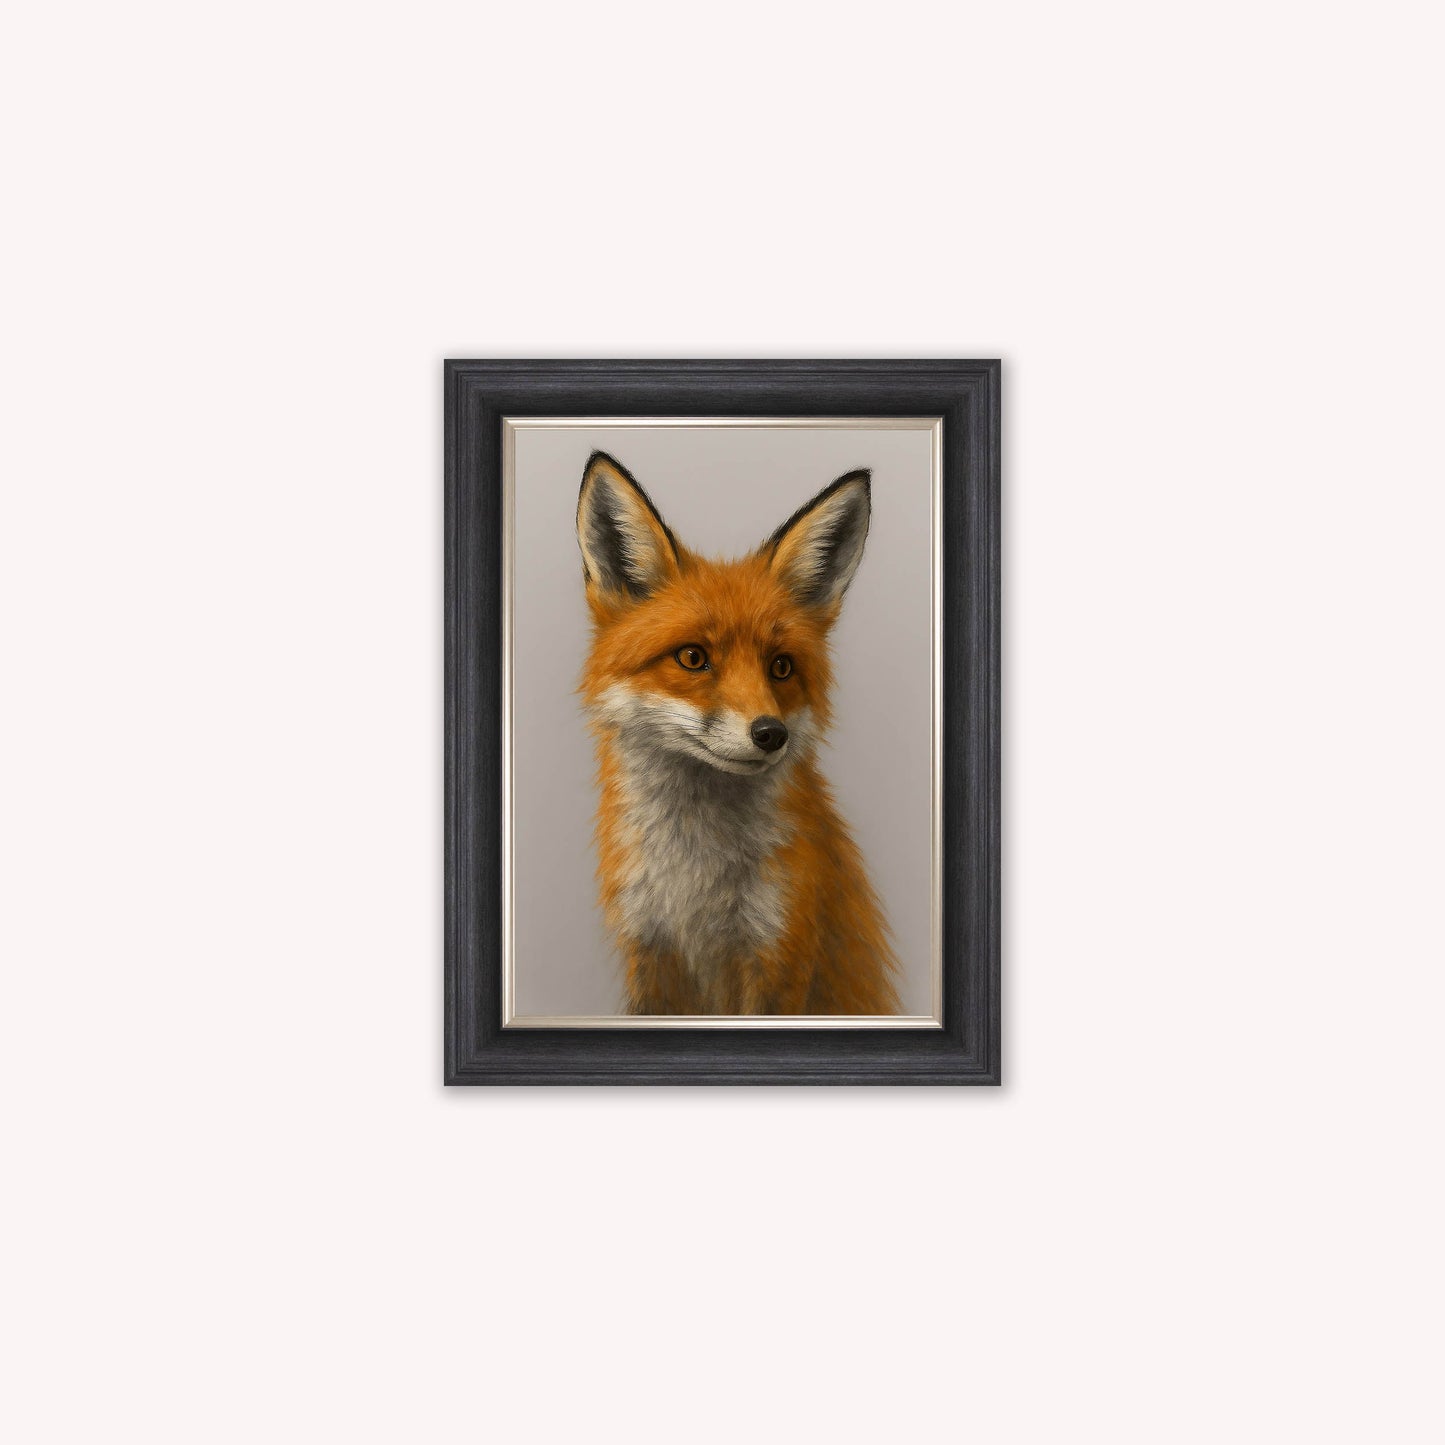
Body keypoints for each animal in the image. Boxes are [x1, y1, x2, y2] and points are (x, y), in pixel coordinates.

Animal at [575, 450, 900, 1016]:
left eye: (781, 667)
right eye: (692, 657)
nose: (771, 734)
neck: (694, 882)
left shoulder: (778, 953)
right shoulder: (650, 951)